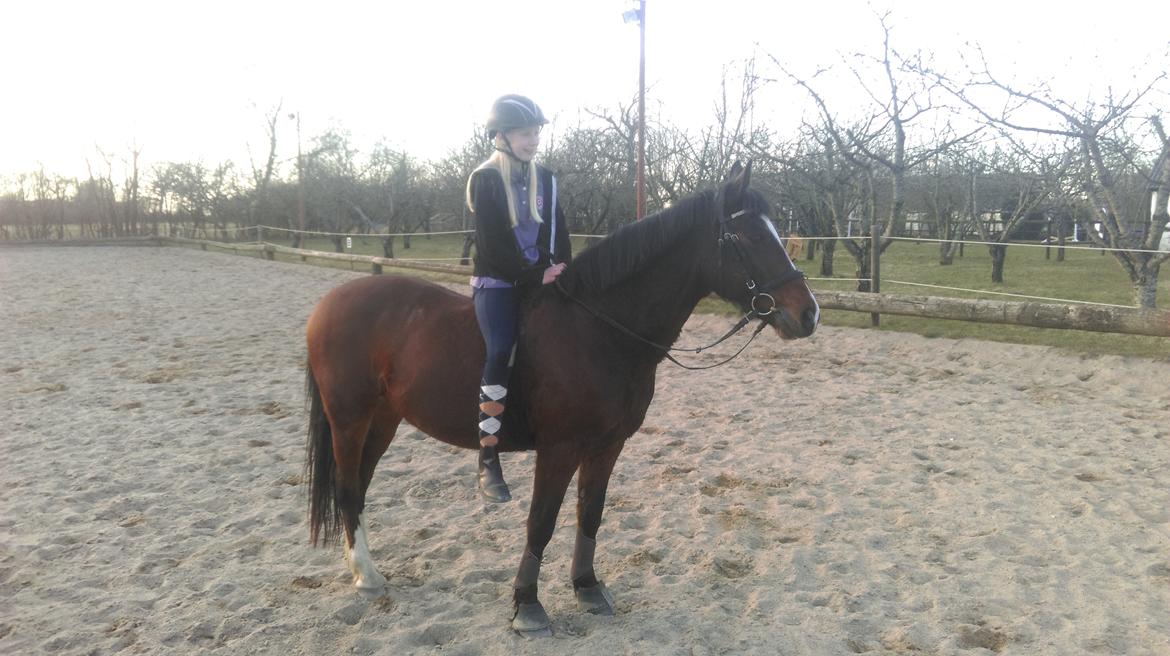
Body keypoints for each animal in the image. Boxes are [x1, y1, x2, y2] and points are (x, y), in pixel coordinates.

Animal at [303, 162, 820, 636]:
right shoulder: (559, 449)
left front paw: (587, 588)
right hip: (349, 419)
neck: (599, 329)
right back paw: (367, 577)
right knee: (347, 486)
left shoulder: (608, 446)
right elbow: (541, 521)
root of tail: (330, 303)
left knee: (360, 486)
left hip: (384, 418)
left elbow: (589, 513)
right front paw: (527, 606)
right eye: (749, 235)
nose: (808, 314)